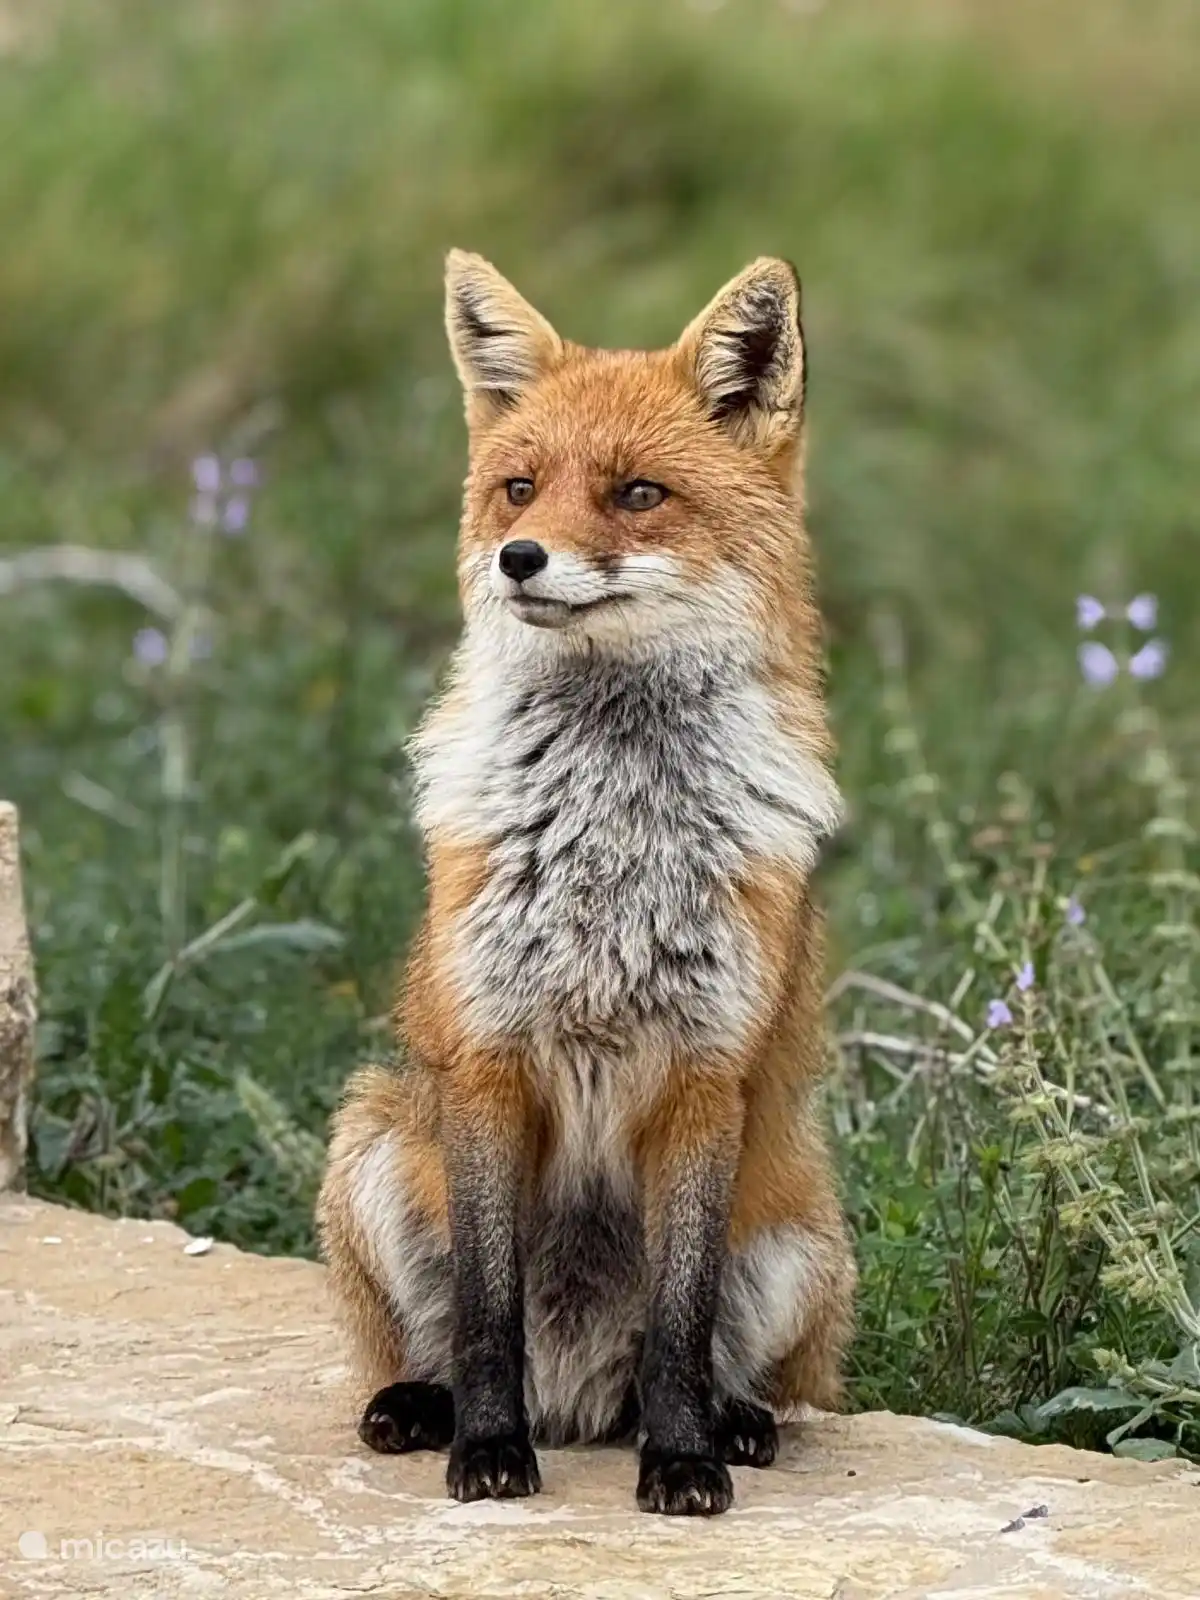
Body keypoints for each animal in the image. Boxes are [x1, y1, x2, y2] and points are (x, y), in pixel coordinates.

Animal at [316, 250, 856, 1517]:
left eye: (638, 494)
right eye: (519, 490)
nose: (521, 559)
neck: (611, 832)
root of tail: (578, 1401)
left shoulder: (706, 1074)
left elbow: (679, 1320)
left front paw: (685, 1459)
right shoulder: (488, 1059)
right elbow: (486, 1309)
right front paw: (489, 1451)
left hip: (804, 1238)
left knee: (708, 1365)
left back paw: (732, 1422)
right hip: (370, 1140)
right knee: (436, 1338)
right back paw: (424, 1406)